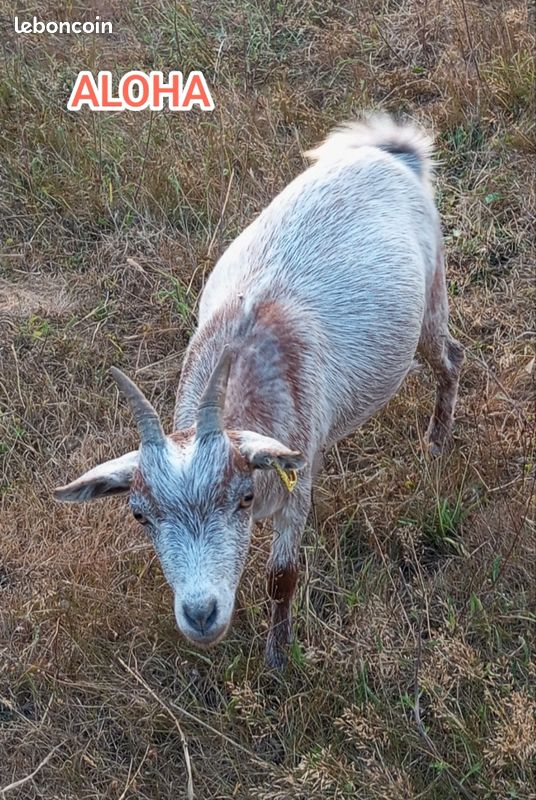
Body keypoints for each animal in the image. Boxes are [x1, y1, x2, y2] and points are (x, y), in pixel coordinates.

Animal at [55, 115, 463, 669]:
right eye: (140, 515)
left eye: (243, 497)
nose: (201, 614)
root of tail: (392, 153)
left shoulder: (298, 483)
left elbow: (281, 577)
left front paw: (277, 661)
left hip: (432, 295)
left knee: (451, 358)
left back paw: (436, 443)